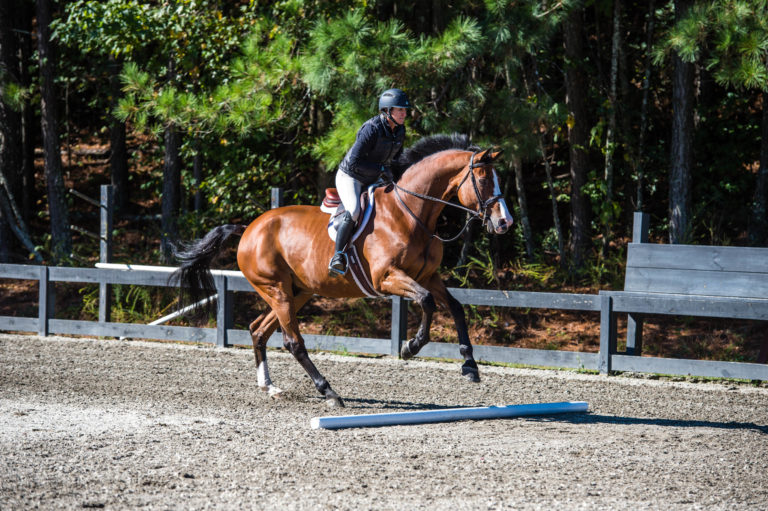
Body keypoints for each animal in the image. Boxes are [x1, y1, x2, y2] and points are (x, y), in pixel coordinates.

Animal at [172, 134, 513, 408]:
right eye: (484, 180)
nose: (504, 223)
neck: (410, 213)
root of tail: (248, 229)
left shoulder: (428, 276)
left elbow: (455, 307)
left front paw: (470, 366)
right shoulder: (387, 278)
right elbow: (427, 301)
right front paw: (410, 347)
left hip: (297, 291)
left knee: (259, 330)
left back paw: (270, 387)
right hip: (276, 290)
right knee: (292, 341)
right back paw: (329, 392)